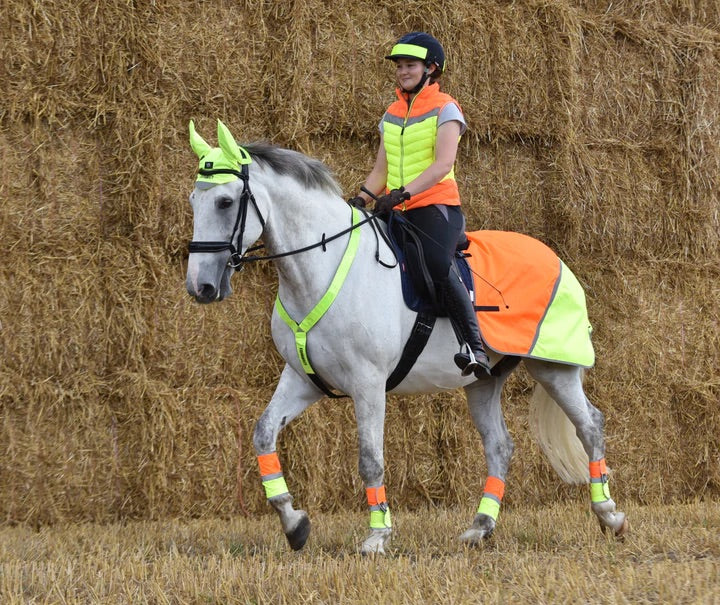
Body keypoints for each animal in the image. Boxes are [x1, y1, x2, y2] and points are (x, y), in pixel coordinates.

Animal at [186, 120, 632, 556]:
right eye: (193, 201)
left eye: (225, 202)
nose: (201, 287)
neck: (321, 268)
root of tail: (555, 257)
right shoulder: (302, 379)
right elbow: (263, 434)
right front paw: (294, 523)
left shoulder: (367, 383)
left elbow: (370, 458)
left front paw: (377, 536)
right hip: (484, 380)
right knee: (500, 445)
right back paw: (480, 527)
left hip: (554, 366)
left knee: (590, 426)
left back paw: (610, 515)